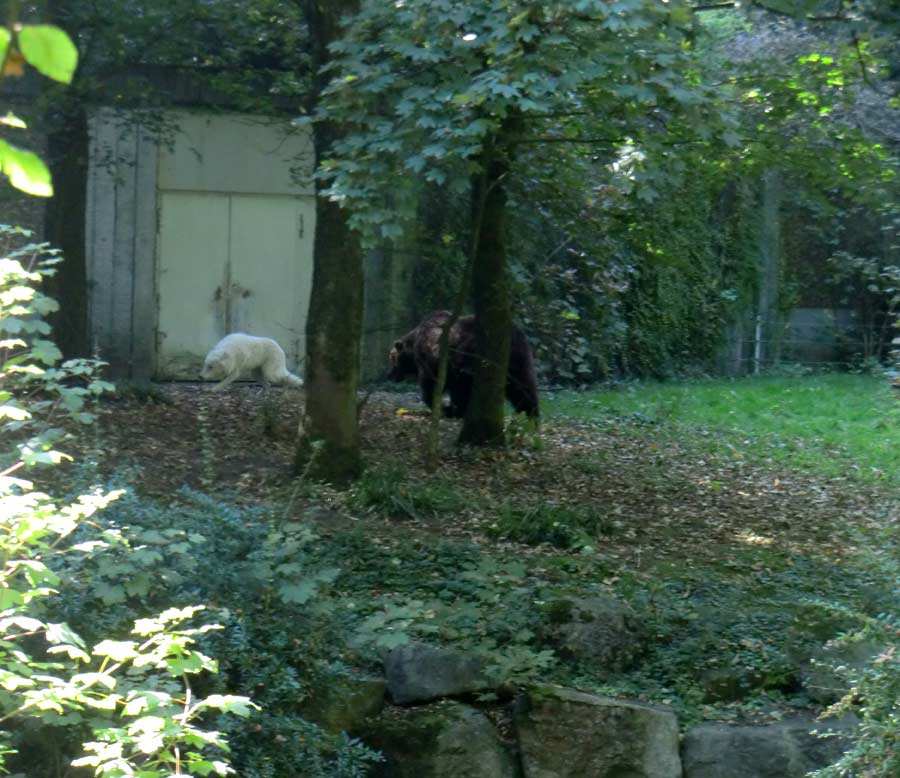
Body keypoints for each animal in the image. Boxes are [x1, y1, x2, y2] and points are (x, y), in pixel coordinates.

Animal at [388, 310, 540, 418]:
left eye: (392, 358)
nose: (389, 375)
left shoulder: (432, 359)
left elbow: (431, 384)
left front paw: (444, 407)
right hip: (518, 359)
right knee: (523, 386)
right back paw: (531, 412)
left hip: (473, 353)